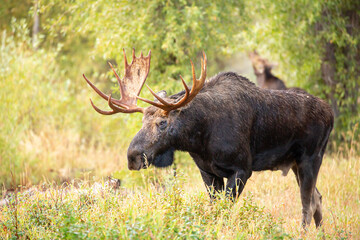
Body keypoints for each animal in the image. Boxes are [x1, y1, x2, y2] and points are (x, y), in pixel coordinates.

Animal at [84, 48, 334, 229]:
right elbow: (214, 209)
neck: (200, 139)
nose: (133, 157)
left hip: (311, 158)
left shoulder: (242, 169)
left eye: (163, 123)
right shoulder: (207, 172)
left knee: (307, 203)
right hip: (296, 164)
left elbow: (225, 210)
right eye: (142, 121)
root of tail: (330, 113)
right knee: (318, 198)